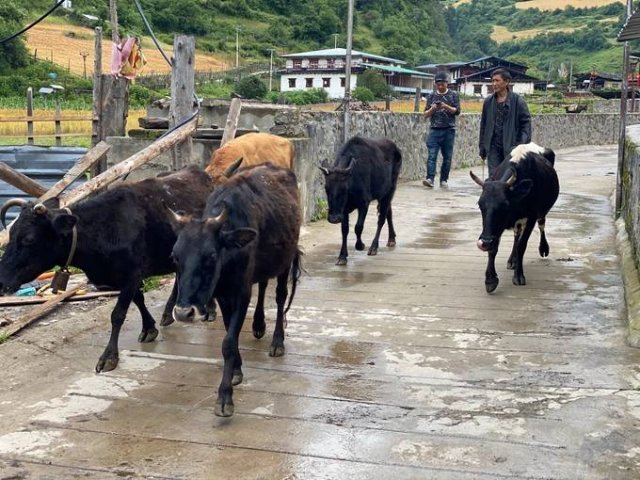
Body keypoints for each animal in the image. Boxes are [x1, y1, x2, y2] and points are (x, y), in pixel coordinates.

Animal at [0, 167, 215, 374]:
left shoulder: (132, 275)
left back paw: (209, 309)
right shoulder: (124, 278)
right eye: (11, 234)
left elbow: (118, 314)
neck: (102, 228)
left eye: (29, 239)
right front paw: (149, 328)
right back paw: (169, 314)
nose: (2, 281)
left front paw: (109, 357)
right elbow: (139, 300)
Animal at [169, 162, 302, 416]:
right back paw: (258, 325)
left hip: (285, 261)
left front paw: (225, 397)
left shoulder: (241, 292)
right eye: (175, 256)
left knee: (280, 297)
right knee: (263, 284)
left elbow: (228, 342)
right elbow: (229, 333)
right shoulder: (223, 294)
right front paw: (237, 371)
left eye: (211, 256)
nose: (183, 312)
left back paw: (277, 342)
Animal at [318, 133, 400, 264]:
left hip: (390, 190)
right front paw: (342, 256)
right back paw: (391, 239)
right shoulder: (344, 210)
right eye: (326, 188)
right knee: (389, 212)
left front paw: (360, 245)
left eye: (344, 189)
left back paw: (374, 247)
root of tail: (395, 148)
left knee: (381, 218)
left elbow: (358, 227)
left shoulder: (364, 204)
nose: (334, 218)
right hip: (384, 194)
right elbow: (344, 230)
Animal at [470, 142, 560, 292]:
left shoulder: (531, 218)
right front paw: (490, 279)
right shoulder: (494, 228)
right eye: (480, 205)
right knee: (516, 234)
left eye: (504, 205)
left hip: (541, 212)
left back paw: (542, 249)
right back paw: (512, 260)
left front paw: (518, 276)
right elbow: (494, 248)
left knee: (541, 224)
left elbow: (522, 246)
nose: (485, 242)